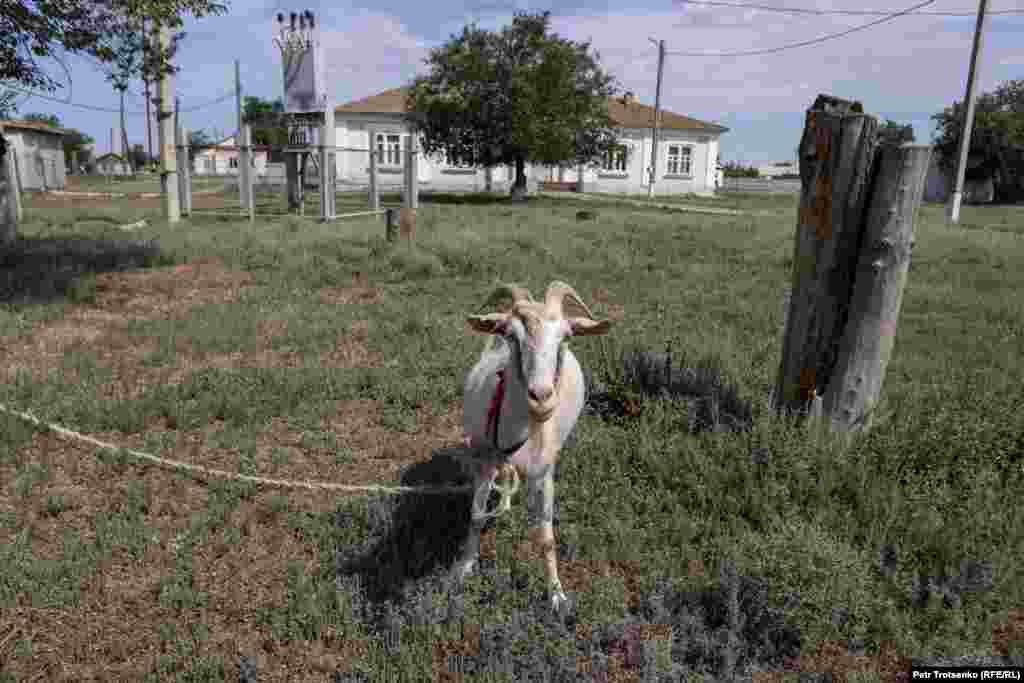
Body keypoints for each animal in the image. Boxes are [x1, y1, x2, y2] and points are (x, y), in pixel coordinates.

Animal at [454, 280, 606, 618]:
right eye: (510, 334)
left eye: (566, 336)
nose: (541, 397)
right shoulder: (484, 463)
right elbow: (475, 514)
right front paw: (464, 567)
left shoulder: (542, 474)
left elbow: (546, 537)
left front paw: (557, 596)